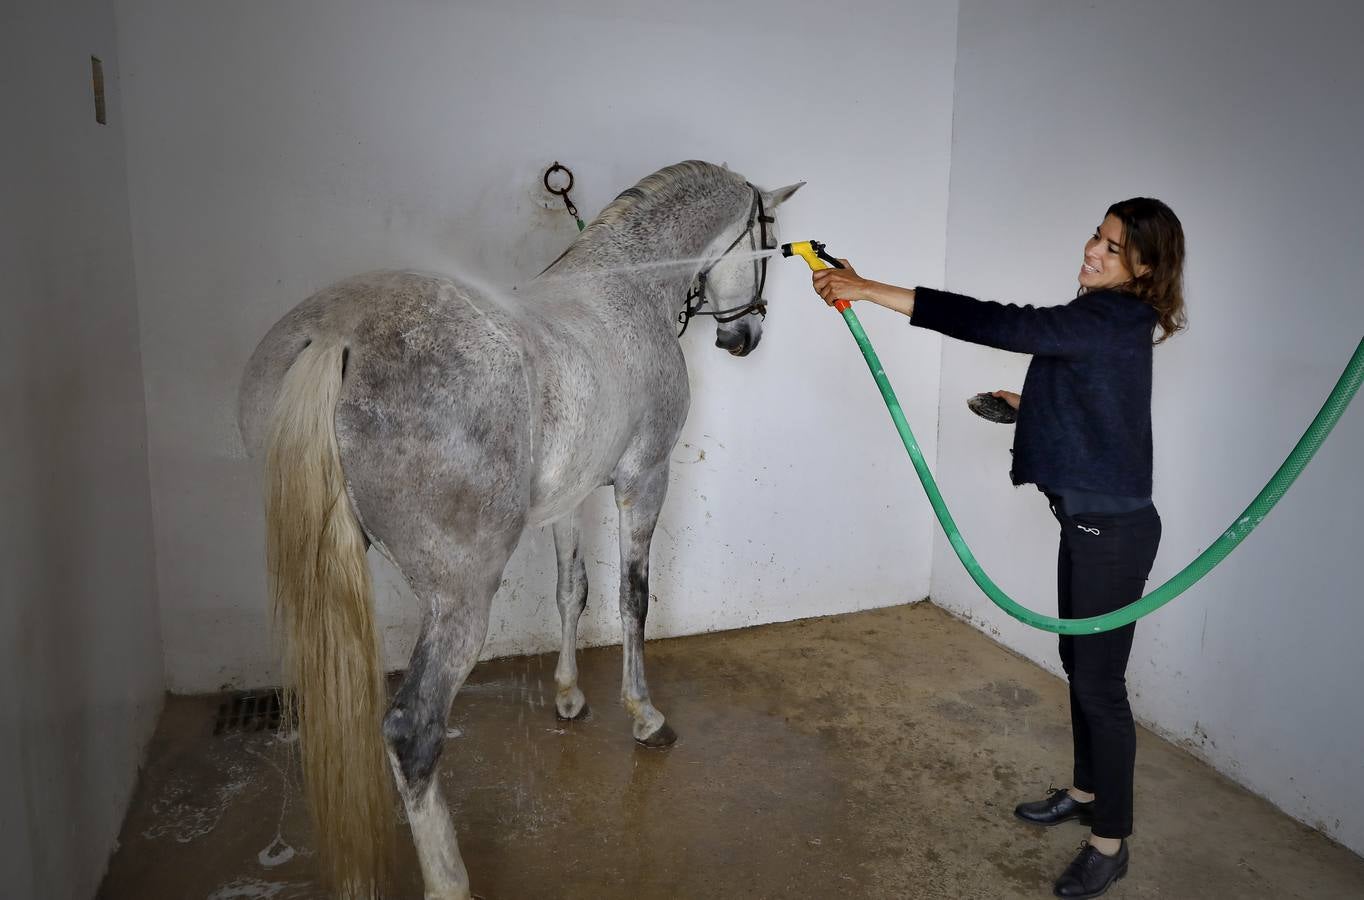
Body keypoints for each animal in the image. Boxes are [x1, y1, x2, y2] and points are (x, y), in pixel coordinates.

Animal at [237, 163, 796, 900]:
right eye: (770, 240)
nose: (744, 338)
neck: (624, 288)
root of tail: (336, 337)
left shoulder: (567, 501)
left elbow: (572, 591)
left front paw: (568, 695)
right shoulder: (644, 479)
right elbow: (632, 600)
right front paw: (643, 714)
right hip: (461, 597)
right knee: (412, 730)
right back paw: (449, 880)